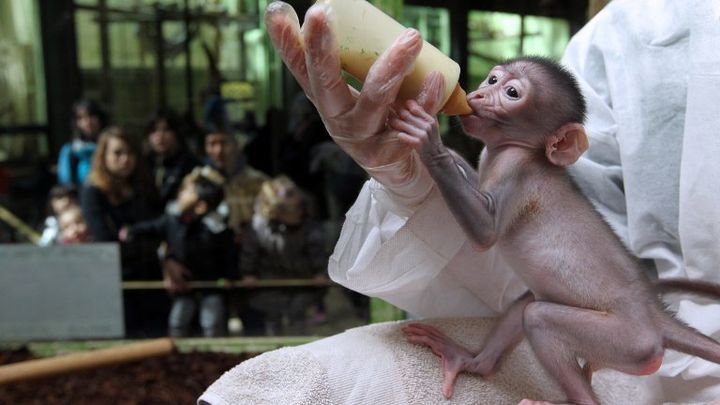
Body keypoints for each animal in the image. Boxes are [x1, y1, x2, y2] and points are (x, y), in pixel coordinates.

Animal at [390, 56, 720, 404]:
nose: (477, 95)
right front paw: (448, 156)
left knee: (538, 317)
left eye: (511, 92)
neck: (515, 149)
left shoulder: (517, 169)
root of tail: (653, 311)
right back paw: (471, 362)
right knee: (526, 304)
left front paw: (428, 139)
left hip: (628, 339)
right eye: (492, 80)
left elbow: (486, 232)